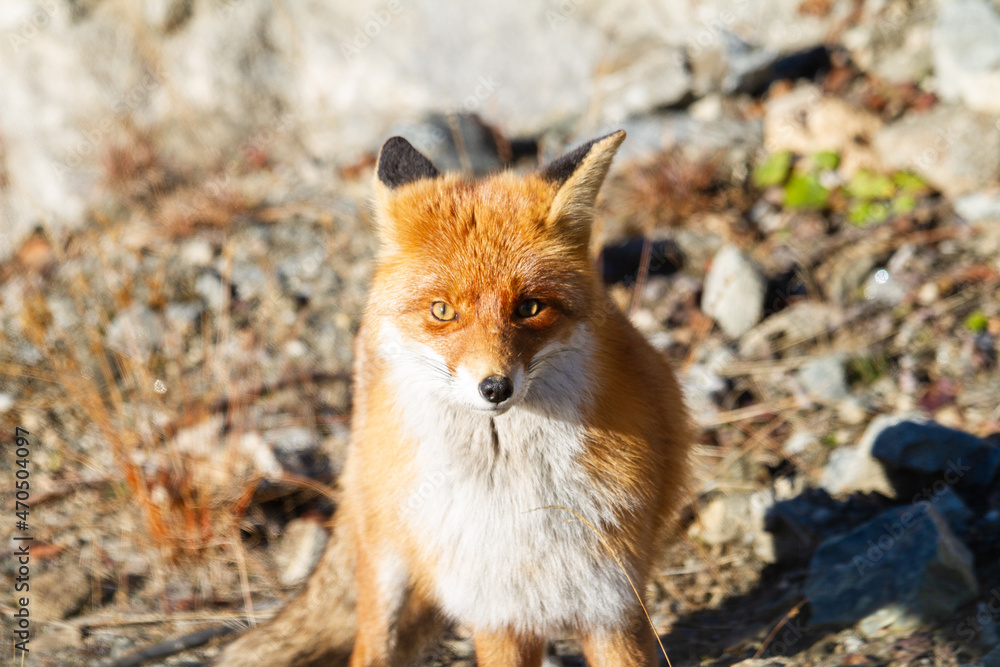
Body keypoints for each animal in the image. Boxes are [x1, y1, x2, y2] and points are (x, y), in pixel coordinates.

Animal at [216, 130, 691, 667]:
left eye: (530, 307)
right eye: (442, 311)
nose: (495, 387)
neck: (510, 494)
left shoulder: (612, 601)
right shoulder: (494, 611)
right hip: (388, 565)